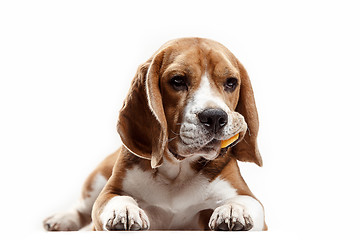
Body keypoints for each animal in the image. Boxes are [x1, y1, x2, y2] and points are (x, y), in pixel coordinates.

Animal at [43, 37, 266, 231]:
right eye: (178, 80)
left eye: (231, 82)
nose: (215, 117)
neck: (177, 170)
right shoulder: (109, 192)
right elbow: (116, 199)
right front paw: (124, 211)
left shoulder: (249, 200)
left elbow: (246, 201)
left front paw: (233, 210)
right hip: (98, 177)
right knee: (81, 207)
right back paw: (62, 219)